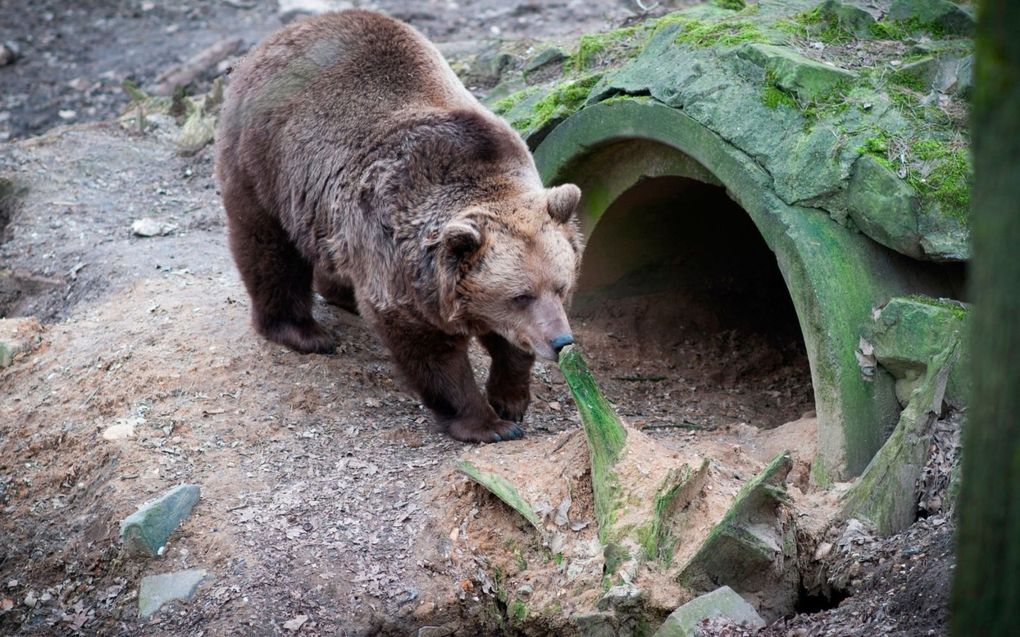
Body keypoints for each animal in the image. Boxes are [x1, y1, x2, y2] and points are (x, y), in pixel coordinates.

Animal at [215, 12, 583, 444]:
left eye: (561, 286)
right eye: (520, 295)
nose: (561, 341)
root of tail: (281, 34)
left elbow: (509, 342)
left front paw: (510, 398)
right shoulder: (393, 249)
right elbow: (429, 349)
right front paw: (488, 424)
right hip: (266, 158)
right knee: (268, 246)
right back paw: (303, 331)